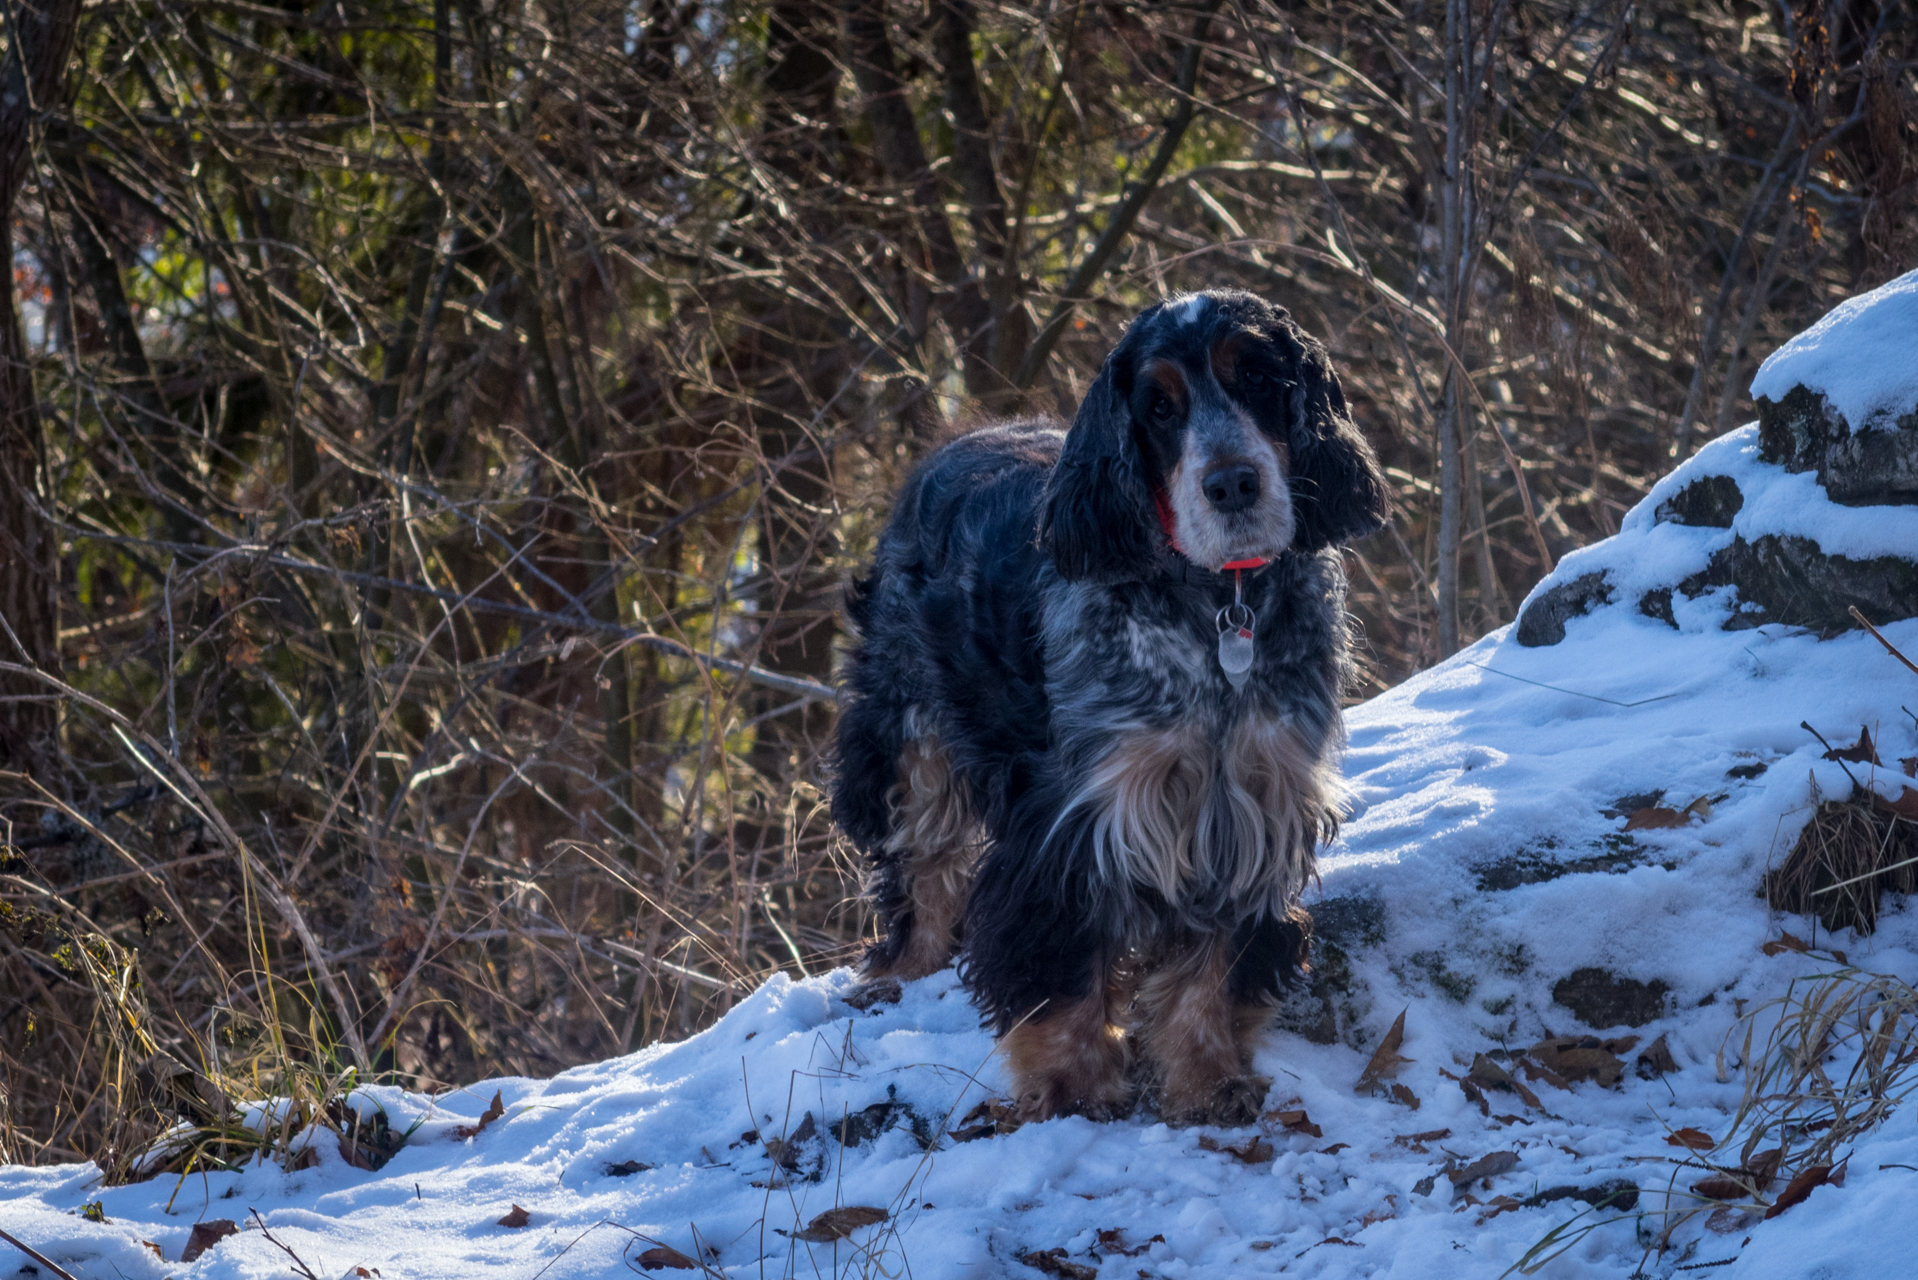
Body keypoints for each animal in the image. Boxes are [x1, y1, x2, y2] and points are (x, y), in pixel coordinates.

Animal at [832, 287, 1388, 1120]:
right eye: (1158, 407)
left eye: (1258, 377)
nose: (1232, 484)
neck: (1218, 603)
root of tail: (965, 436)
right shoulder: (1077, 817)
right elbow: (1063, 966)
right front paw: (1076, 1087)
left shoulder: (1250, 807)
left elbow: (1211, 968)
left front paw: (1207, 1081)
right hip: (911, 734)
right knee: (922, 869)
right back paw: (903, 973)